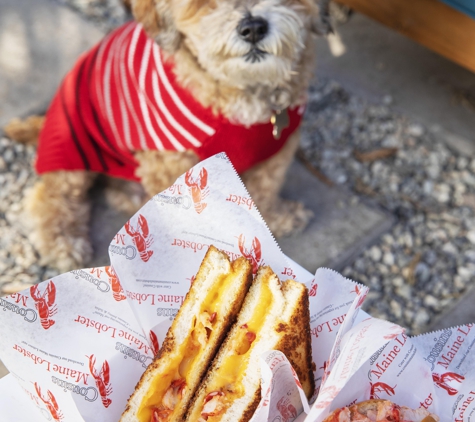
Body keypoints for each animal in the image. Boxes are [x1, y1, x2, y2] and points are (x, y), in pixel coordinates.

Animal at [3, 0, 330, 272]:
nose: (253, 28)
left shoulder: (280, 145)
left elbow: (265, 188)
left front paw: (275, 219)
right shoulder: (170, 161)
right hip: (74, 146)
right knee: (51, 196)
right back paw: (64, 242)